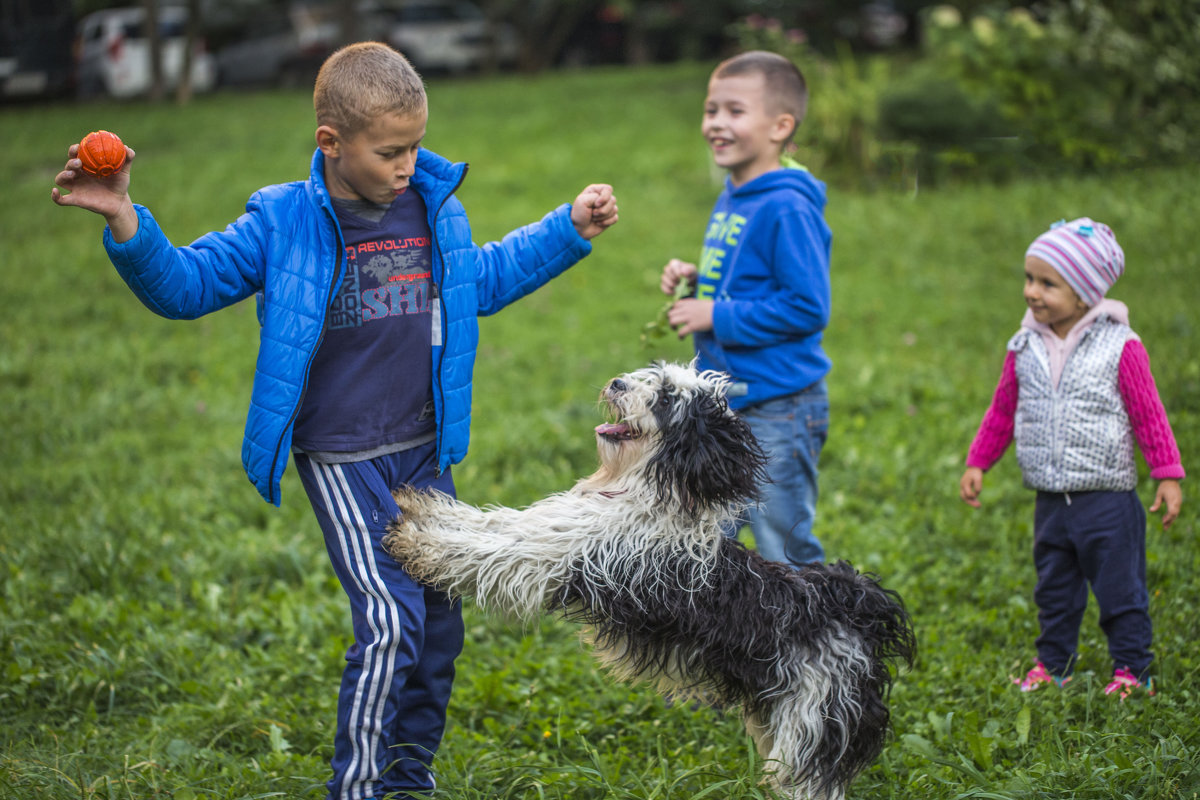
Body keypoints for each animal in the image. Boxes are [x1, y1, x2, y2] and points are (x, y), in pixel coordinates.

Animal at [379, 364, 912, 800]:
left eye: (666, 399)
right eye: (652, 377)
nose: (618, 383)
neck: (639, 490)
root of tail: (856, 608)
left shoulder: (552, 559)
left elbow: (490, 549)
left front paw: (418, 542)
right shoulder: (553, 529)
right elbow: (490, 524)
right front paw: (421, 509)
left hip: (814, 728)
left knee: (812, 781)